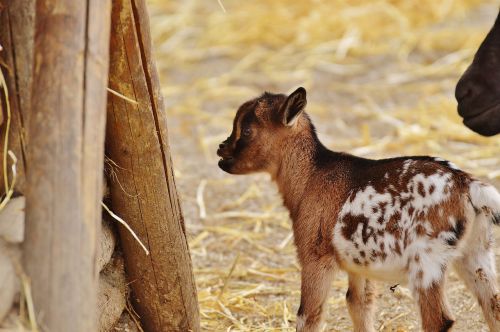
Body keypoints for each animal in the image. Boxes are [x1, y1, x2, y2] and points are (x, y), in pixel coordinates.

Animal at [216, 87, 500, 330]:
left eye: (247, 130)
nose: (221, 148)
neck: (311, 176)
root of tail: (466, 184)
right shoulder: (358, 267)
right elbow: (359, 306)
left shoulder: (315, 259)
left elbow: (309, 317)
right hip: (476, 254)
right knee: (493, 307)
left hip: (426, 263)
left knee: (439, 320)